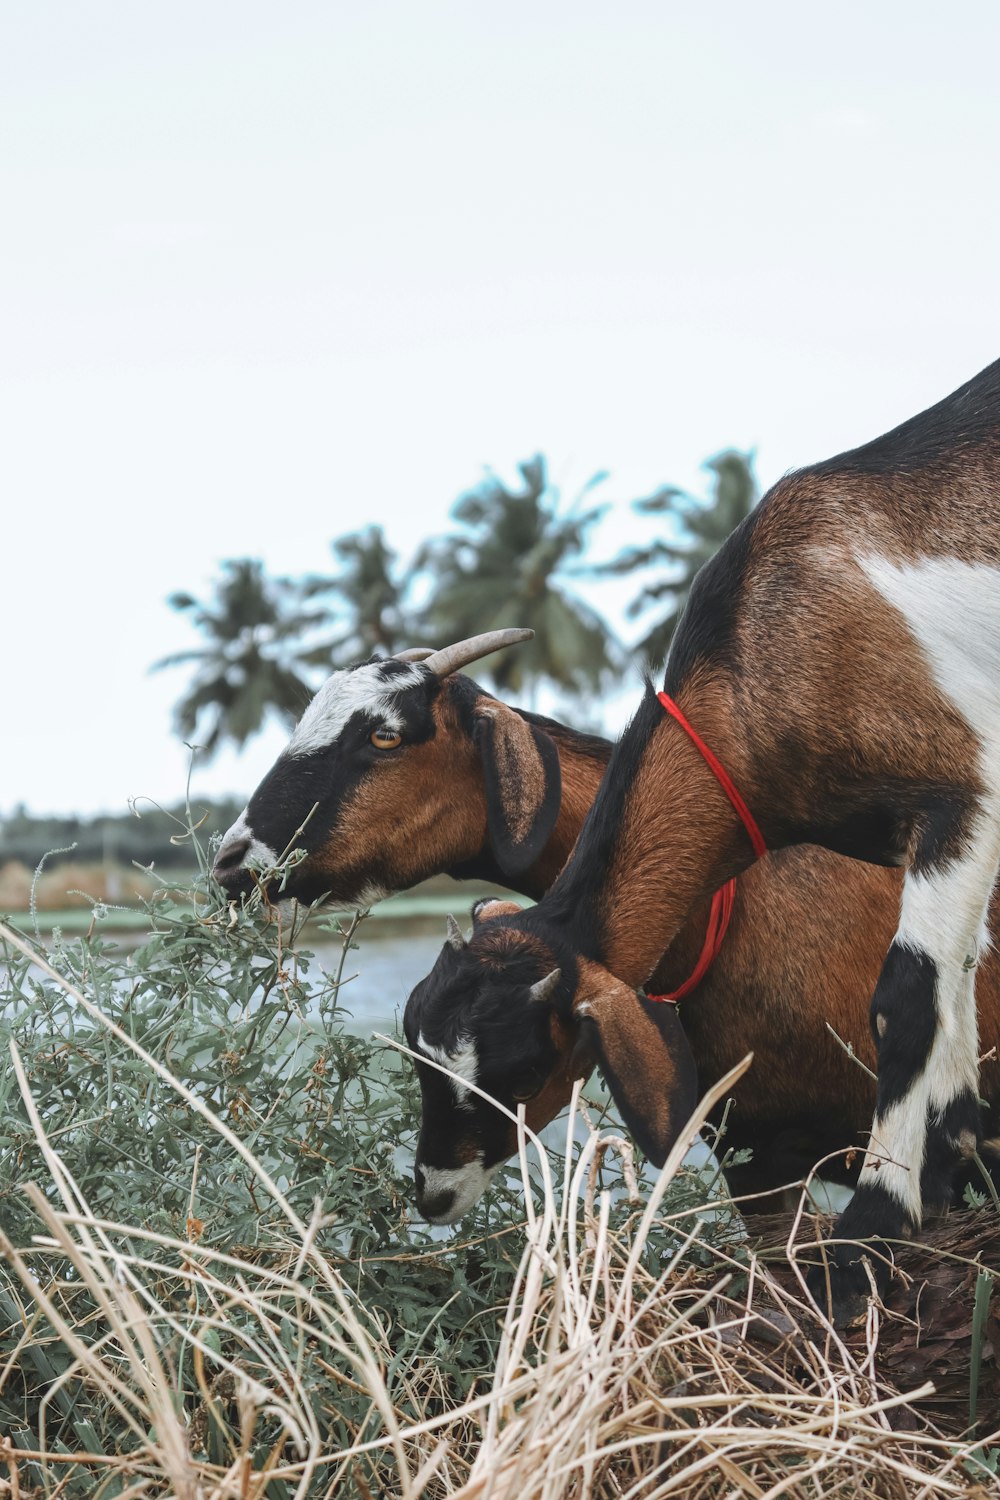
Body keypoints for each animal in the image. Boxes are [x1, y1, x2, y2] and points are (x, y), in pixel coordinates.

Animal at [401, 357, 1000, 1320]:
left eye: (521, 1073)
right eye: (422, 1060)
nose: (432, 1194)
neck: (759, 667)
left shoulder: (960, 790)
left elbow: (907, 996)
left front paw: (871, 1232)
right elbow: (960, 980)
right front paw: (947, 1170)